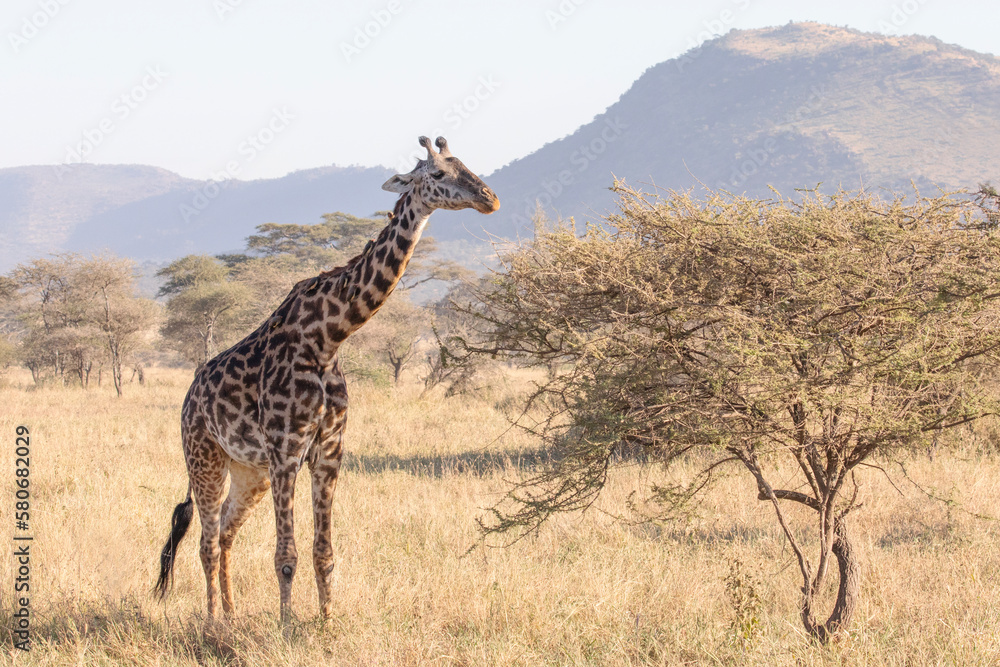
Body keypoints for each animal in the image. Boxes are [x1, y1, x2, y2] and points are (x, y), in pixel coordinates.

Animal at [154, 136, 499, 622]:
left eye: (465, 164)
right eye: (436, 174)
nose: (489, 198)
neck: (328, 338)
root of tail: (188, 397)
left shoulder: (329, 452)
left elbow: (324, 552)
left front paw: (327, 621)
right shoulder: (286, 452)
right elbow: (286, 555)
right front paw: (287, 626)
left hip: (248, 471)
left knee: (224, 531)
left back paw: (233, 613)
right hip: (204, 456)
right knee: (205, 540)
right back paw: (212, 620)